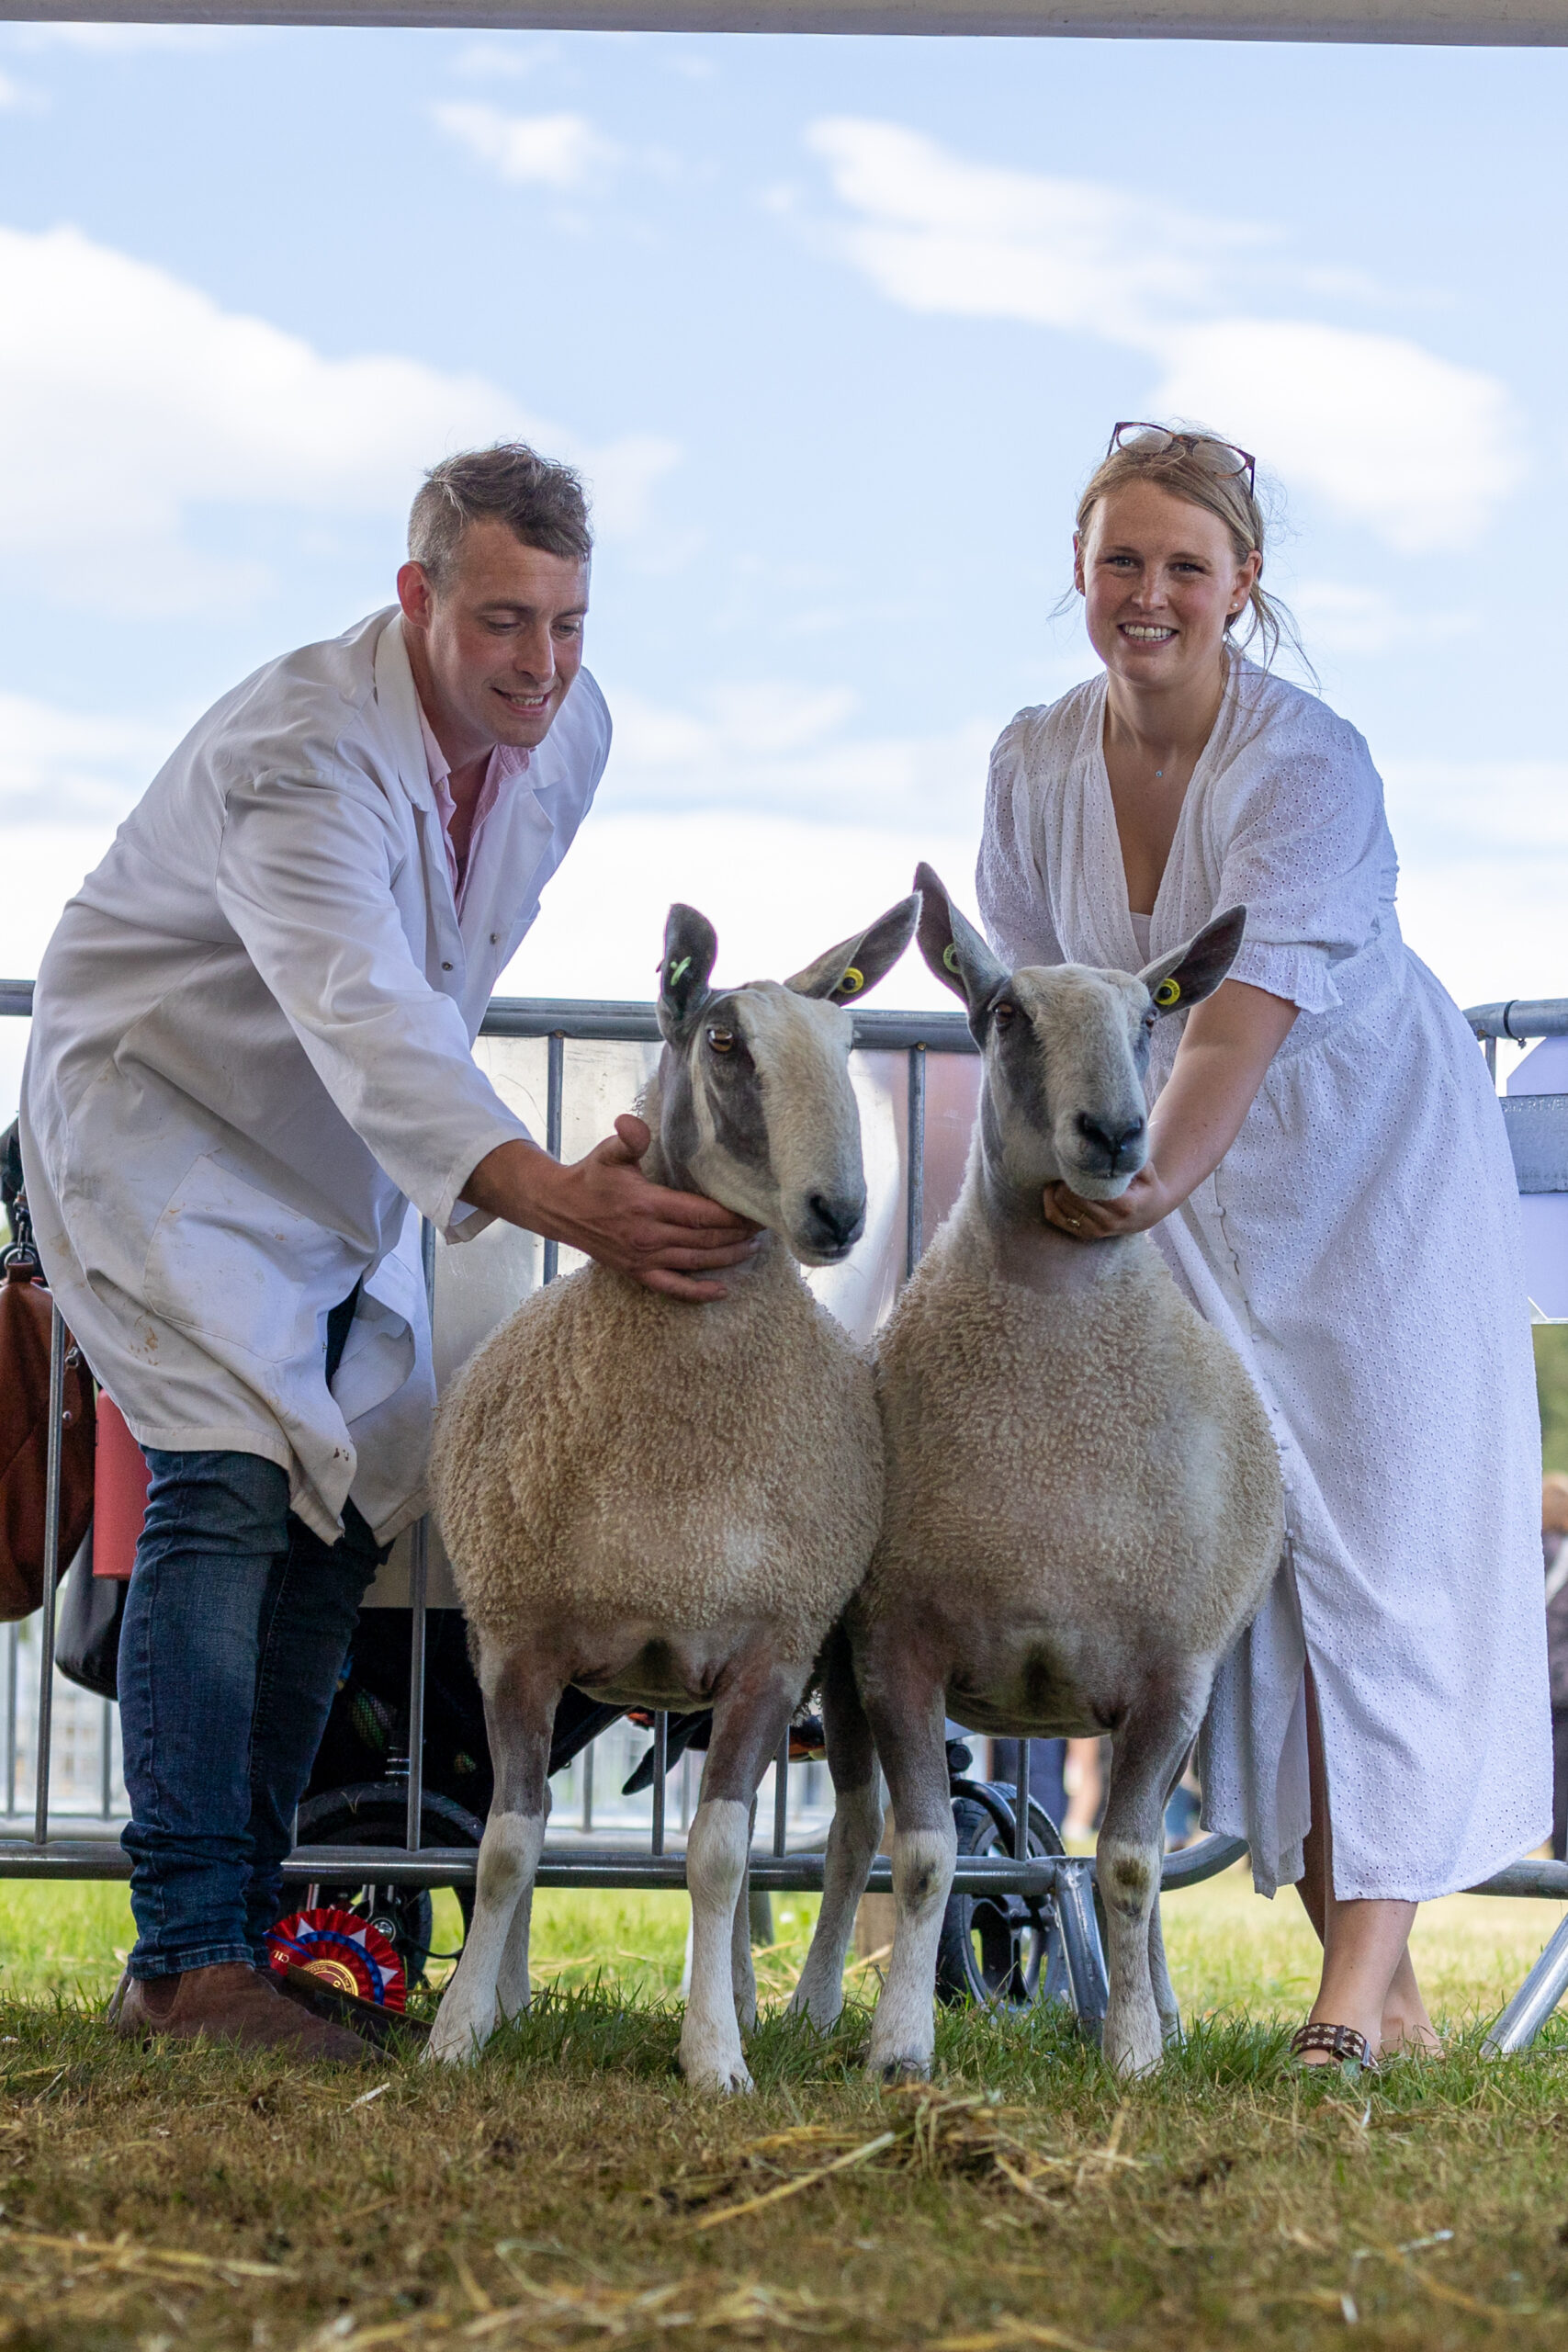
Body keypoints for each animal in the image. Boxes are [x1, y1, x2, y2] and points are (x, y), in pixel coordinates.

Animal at [423, 888, 926, 2088]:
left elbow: (719, 1856)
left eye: (849, 1042)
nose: (841, 1212)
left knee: (842, 1831)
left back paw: (794, 2006)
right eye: (726, 1043)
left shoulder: (769, 1648)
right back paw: (525, 1995)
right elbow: (507, 1846)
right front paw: (458, 2029)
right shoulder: (517, 1643)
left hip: (841, 1661)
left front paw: (715, 2057)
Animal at [789, 865, 1279, 2079]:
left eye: (1152, 1015)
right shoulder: (898, 1647)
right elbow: (923, 1857)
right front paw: (900, 2048)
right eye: (1006, 1014)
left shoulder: (1173, 1670)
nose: (1116, 1131)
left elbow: (1133, 1869)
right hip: (838, 1668)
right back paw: (812, 2008)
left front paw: (1138, 2053)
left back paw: (1167, 2014)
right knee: (852, 1834)